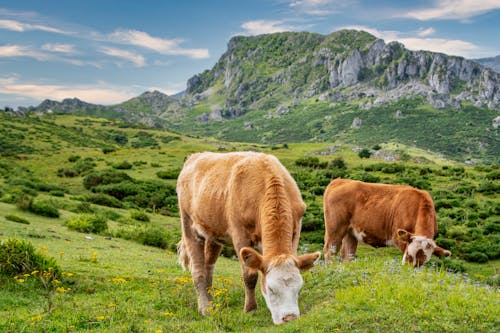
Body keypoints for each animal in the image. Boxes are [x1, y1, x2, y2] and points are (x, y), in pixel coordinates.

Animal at [175, 152, 320, 322]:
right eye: (270, 288)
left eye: (299, 287)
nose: (289, 318)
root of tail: (195, 156)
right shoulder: (240, 235)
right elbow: (250, 276)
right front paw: (250, 309)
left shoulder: (296, 230)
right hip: (188, 224)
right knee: (197, 270)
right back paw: (205, 308)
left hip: (213, 233)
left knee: (208, 267)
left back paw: (211, 303)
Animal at [322, 178, 452, 266]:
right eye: (408, 255)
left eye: (423, 262)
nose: (408, 269)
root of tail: (340, 181)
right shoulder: (398, 238)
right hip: (335, 229)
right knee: (330, 252)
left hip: (350, 232)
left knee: (347, 255)